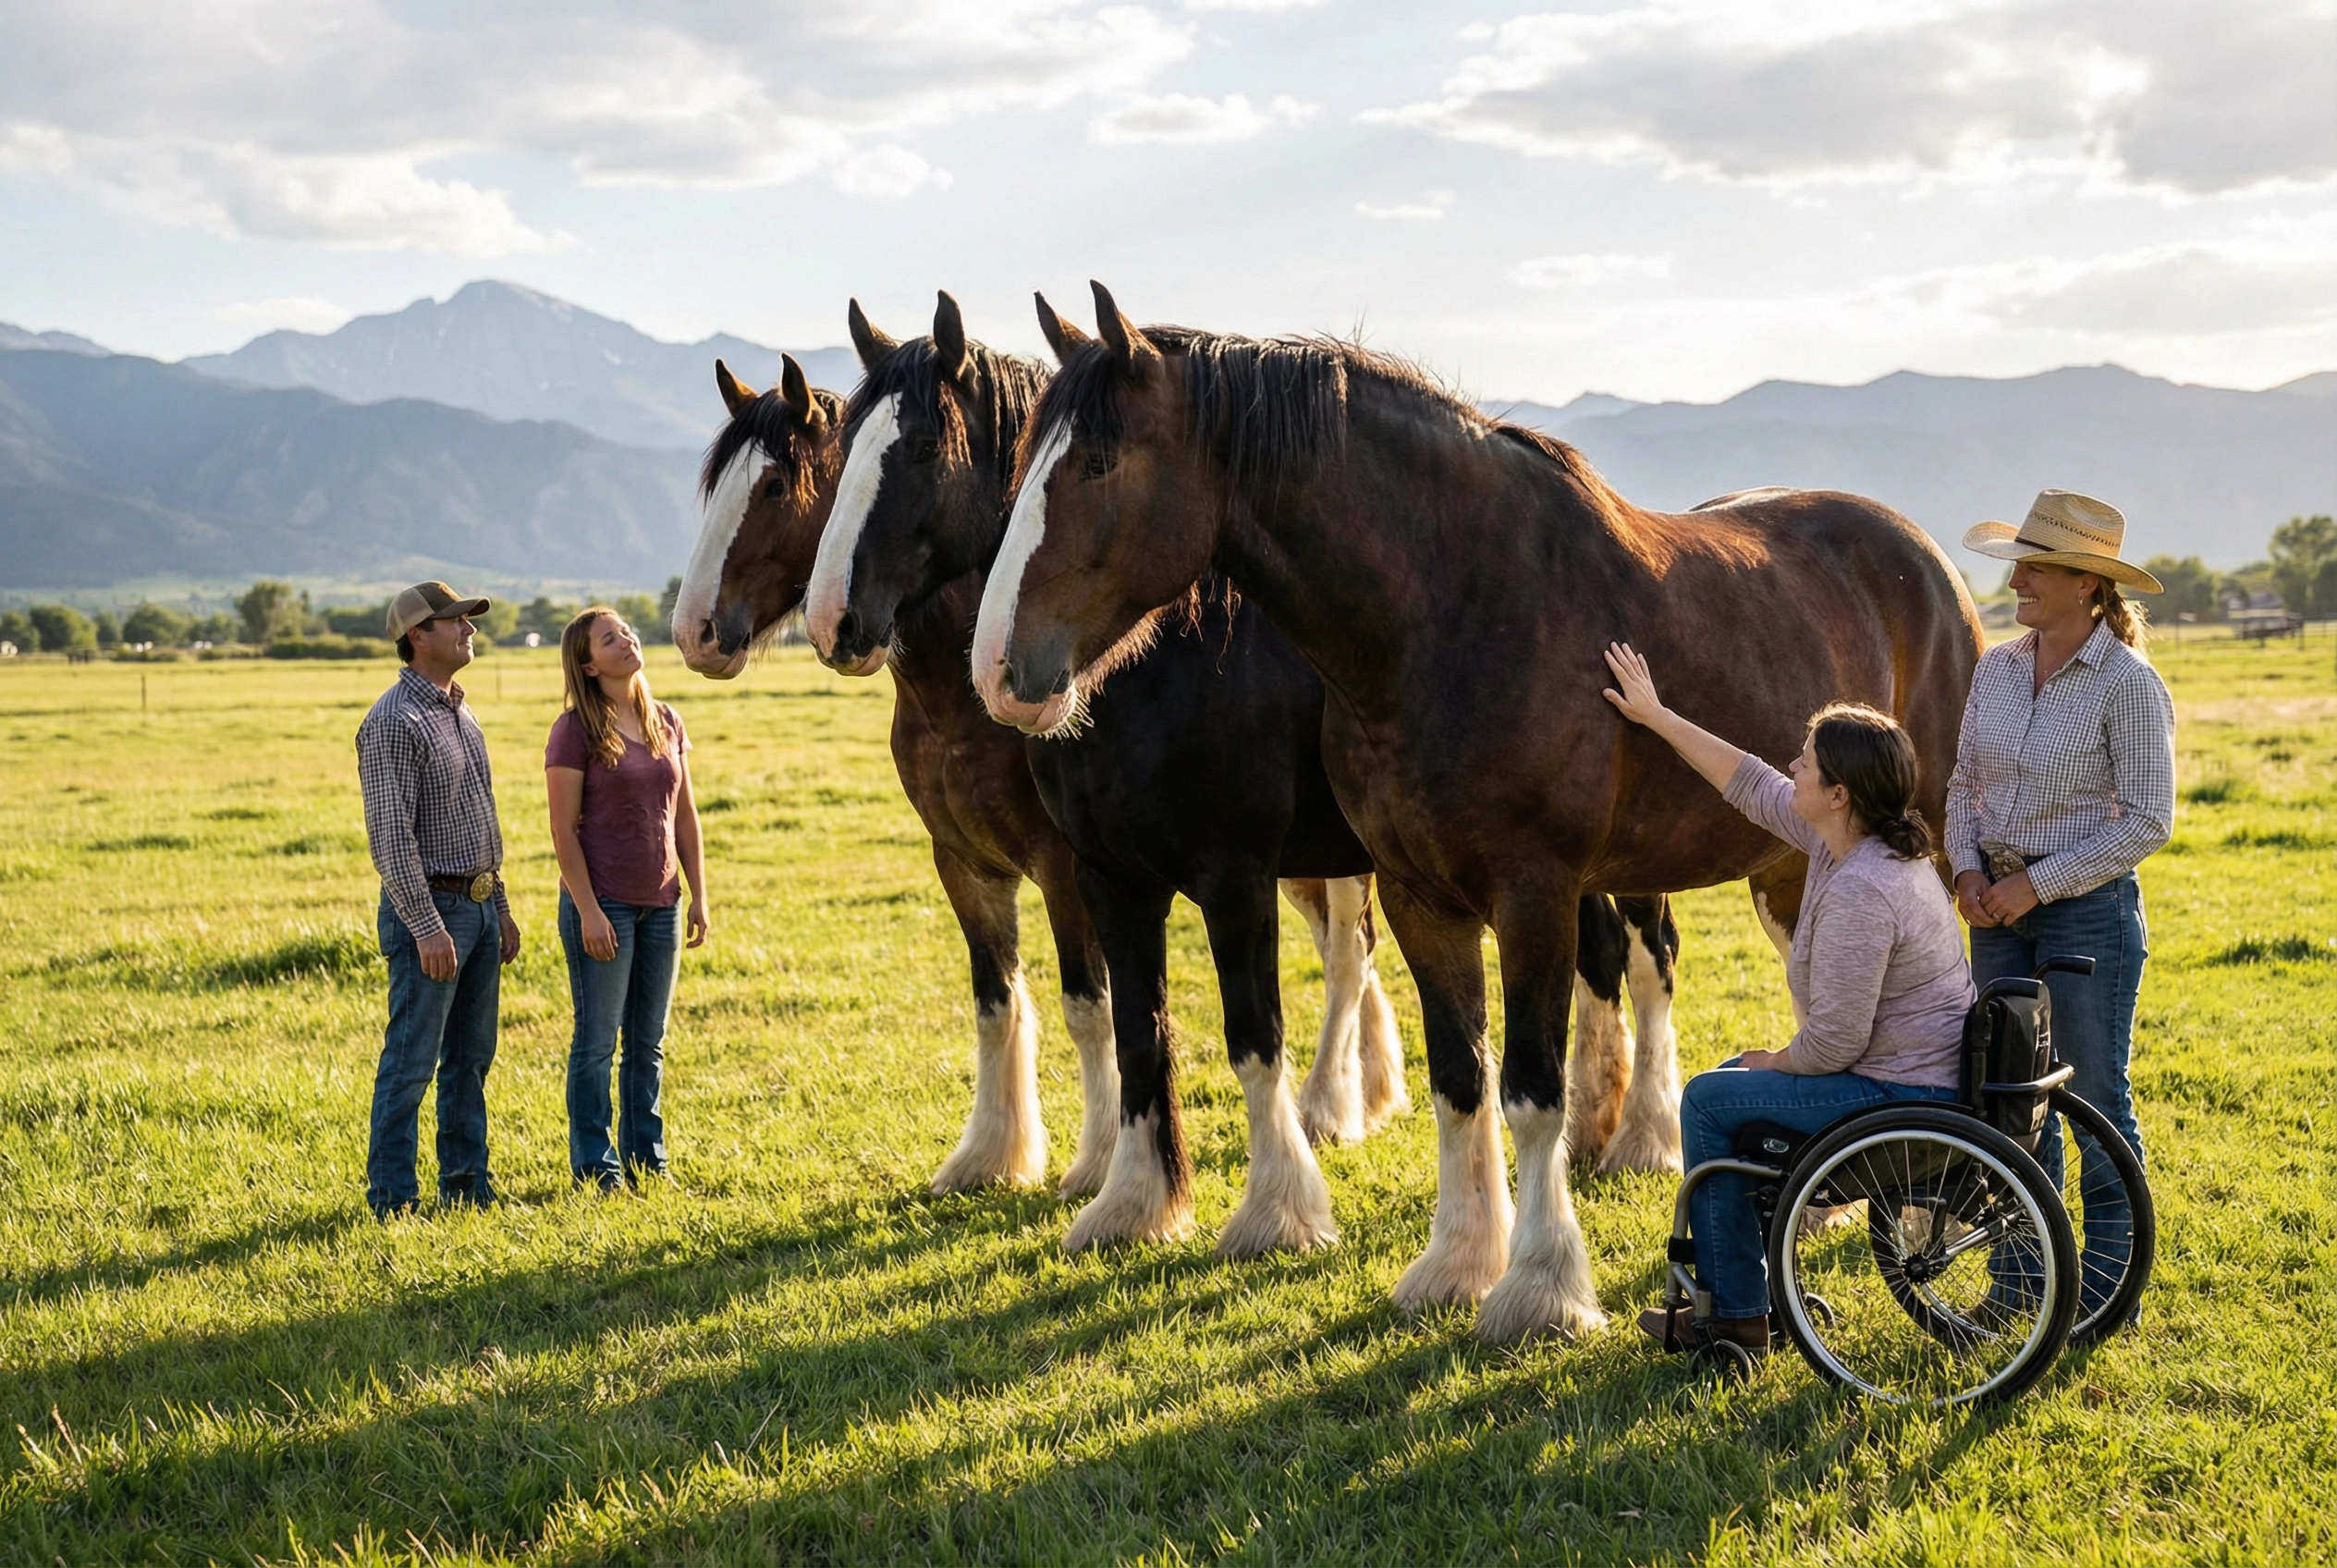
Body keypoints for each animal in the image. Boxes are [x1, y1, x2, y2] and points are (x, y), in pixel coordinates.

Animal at [671, 353, 1121, 1198]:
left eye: (773, 487)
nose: (694, 632)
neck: (960, 702)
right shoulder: (964, 864)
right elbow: (995, 1000)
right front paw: (990, 1154)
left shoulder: (1067, 868)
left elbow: (1090, 1005)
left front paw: (1100, 1166)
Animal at [802, 292, 1686, 1257]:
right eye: (843, 450)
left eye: (923, 446)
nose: (830, 617)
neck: (1155, 672)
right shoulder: (1108, 876)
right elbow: (1138, 1029)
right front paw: (1134, 1200)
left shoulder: (1232, 875)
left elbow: (1251, 1034)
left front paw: (1276, 1211)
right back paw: (1587, 1125)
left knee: (1645, 958)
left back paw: (1642, 1135)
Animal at [971, 283, 1984, 1342]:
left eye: (1096, 462)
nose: (998, 671)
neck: (1452, 613)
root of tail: (1922, 557)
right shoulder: (1419, 899)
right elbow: (1461, 1081)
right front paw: (1458, 1263)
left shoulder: (1530, 895)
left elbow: (1531, 1091)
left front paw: (1540, 1287)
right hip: (1790, 863)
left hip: (1931, 847)